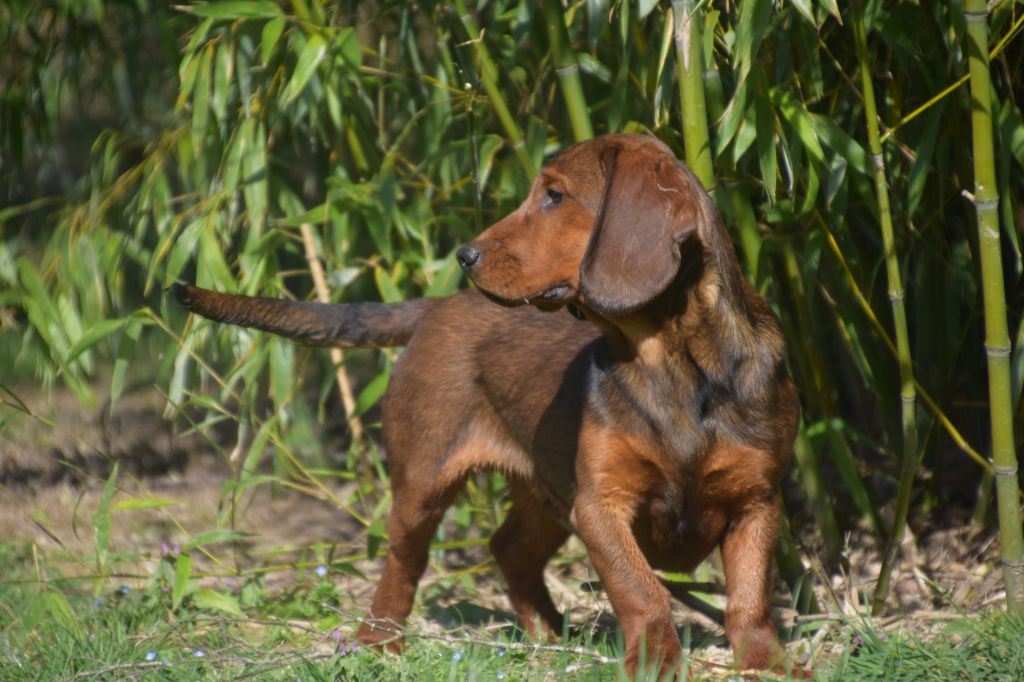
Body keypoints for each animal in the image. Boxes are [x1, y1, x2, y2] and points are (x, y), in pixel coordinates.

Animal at [171, 133, 800, 677]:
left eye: (554, 195)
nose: (464, 254)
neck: (671, 363)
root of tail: (436, 307)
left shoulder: (756, 503)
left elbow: (750, 599)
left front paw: (769, 663)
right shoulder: (601, 504)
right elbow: (642, 592)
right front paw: (656, 663)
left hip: (546, 493)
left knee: (510, 549)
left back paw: (547, 636)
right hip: (424, 482)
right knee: (403, 565)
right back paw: (379, 644)